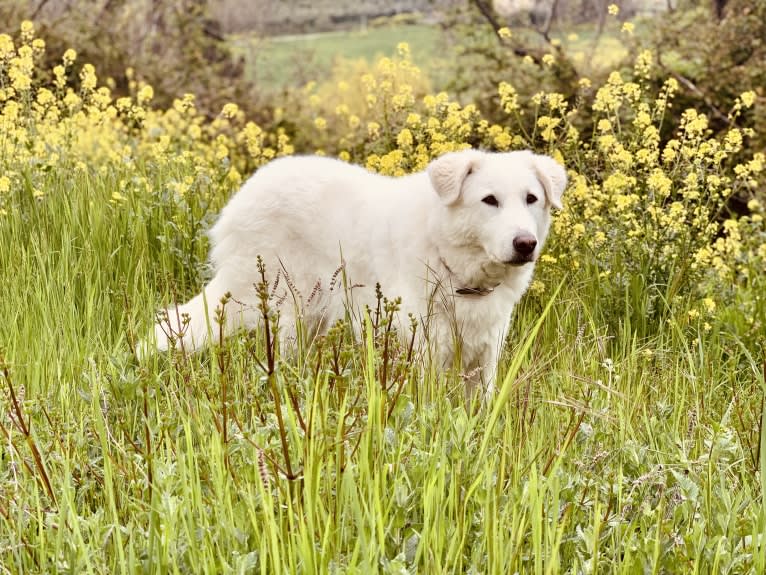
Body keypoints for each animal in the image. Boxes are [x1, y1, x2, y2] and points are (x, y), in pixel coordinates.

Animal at [152, 150, 568, 396]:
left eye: (531, 199)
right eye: (489, 200)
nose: (525, 243)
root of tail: (248, 188)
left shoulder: (485, 351)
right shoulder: (425, 346)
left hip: (309, 316)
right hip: (270, 304)